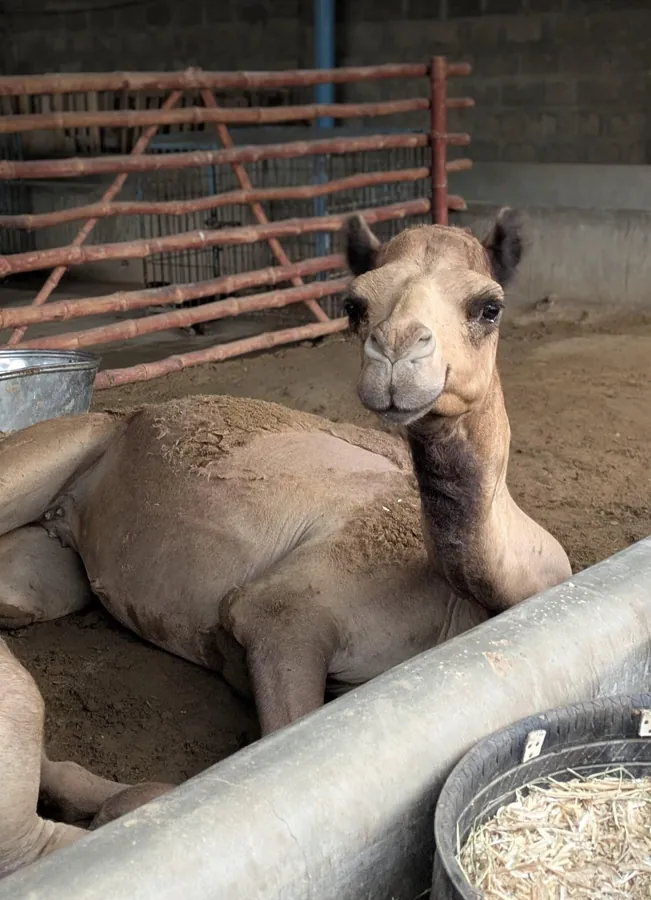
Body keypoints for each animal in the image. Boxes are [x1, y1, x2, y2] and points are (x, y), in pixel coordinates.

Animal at [0, 208, 571, 877]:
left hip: (53, 561)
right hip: (70, 439)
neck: (482, 600)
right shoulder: (279, 612)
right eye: (354, 305)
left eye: (489, 307)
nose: (397, 355)